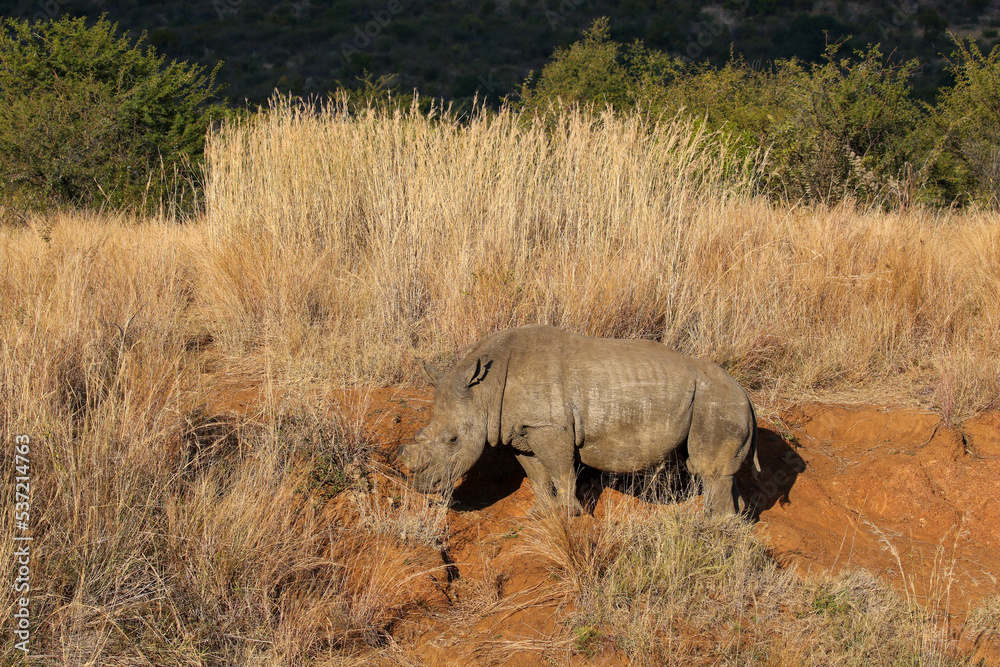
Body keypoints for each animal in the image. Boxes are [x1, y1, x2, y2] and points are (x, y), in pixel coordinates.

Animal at [397, 325, 759, 516]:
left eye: (453, 440)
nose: (421, 486)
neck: (484, 390)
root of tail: (745, 392)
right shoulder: (522, 431)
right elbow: (536, 474)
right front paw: (542, 512)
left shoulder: (549, 427)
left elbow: (562, 470)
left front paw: (570, 513)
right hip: (716, 401)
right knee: (721, 474)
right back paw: (734, 521)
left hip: (718, 402)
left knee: (709, 470)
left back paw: (713, 527)